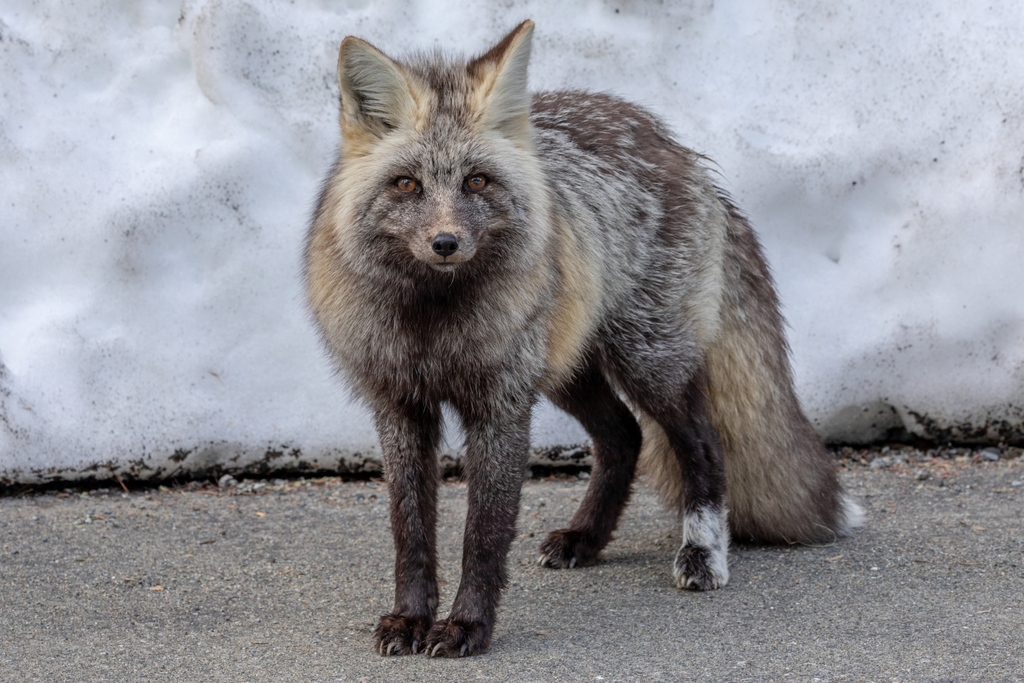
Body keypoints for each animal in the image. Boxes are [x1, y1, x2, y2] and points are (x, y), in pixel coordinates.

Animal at [303, 21, 864, 659]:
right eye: (406, 184)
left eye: (476, 181)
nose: (445, 243)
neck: (433, 325)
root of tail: (675, 145)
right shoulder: (398, 406)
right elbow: (411, 532)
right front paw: (409, 619)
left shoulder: (501, 406)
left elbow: (483, 535)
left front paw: (468, 626)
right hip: (569, 370)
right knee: (623, 437)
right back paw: (586, 539)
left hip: (648, 362)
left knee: (702, 445)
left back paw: (701, 552)